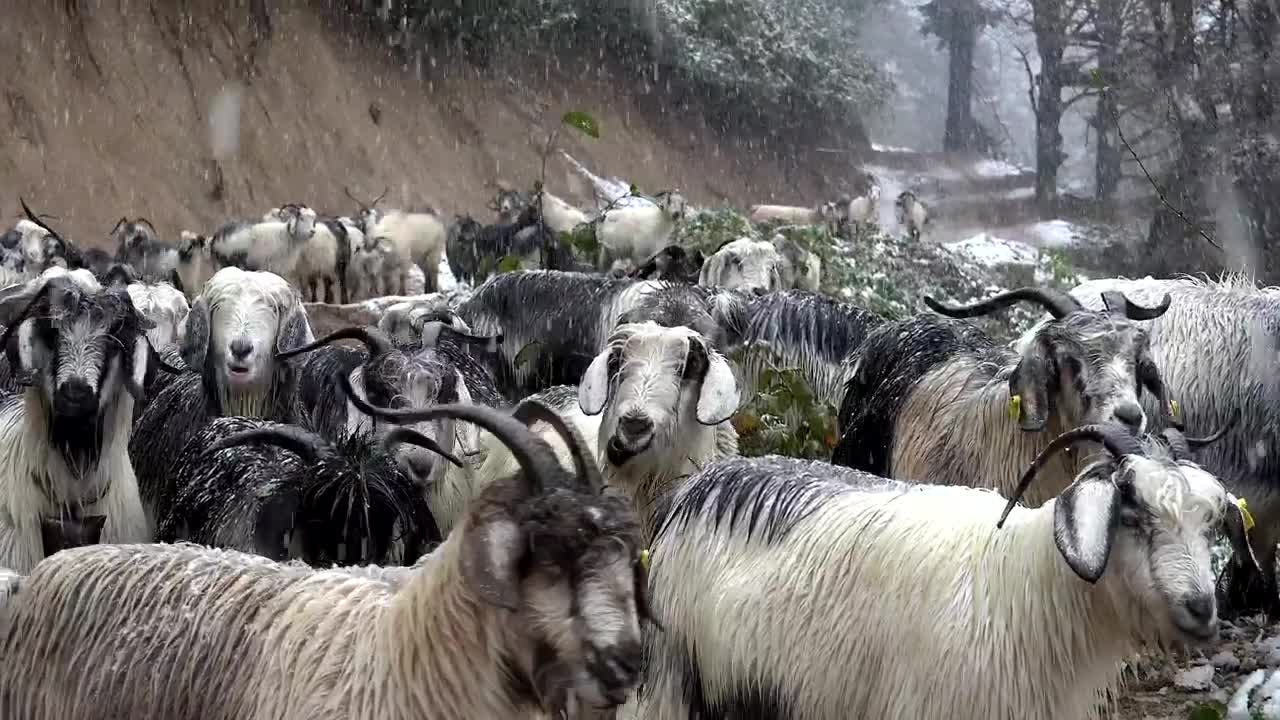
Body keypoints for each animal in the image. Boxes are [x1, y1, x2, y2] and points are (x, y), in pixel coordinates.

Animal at [632, 423, 1257, 719]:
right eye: (1132, 515)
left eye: (1209, 526)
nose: (1203, 609)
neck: (1029, 591)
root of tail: (696, 488)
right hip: (673, 679)